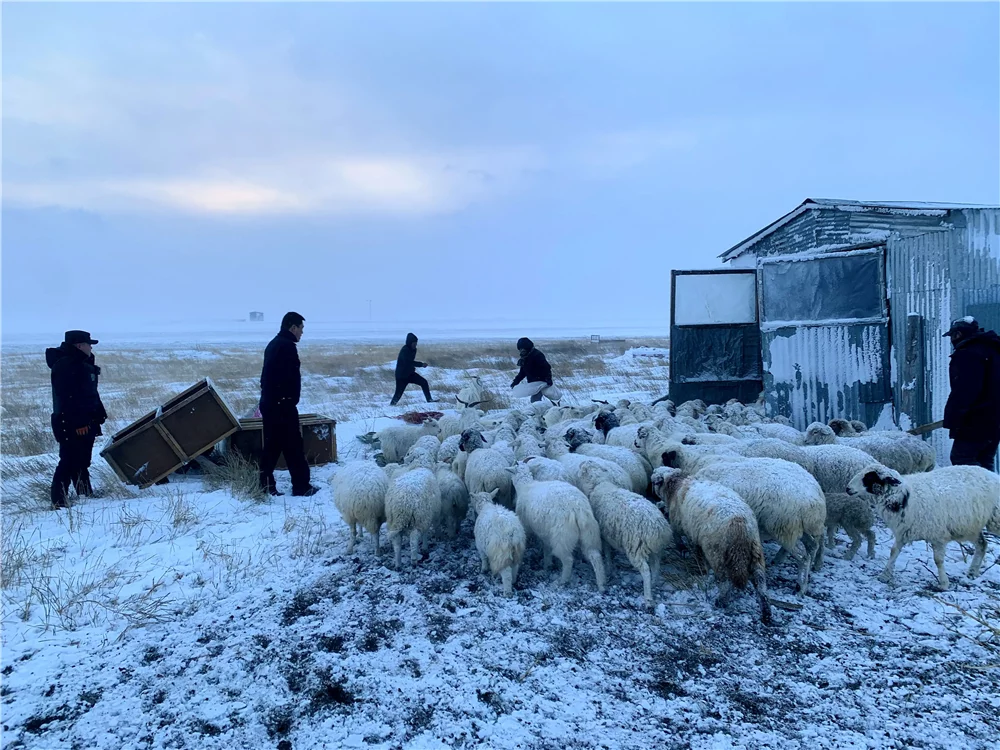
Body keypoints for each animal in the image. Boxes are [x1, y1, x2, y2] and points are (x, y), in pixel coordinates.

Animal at [512, 464, 604, 592]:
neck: (526, 485)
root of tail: (578, 509)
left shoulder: (528, 526)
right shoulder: (545, 533)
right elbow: (546, 548)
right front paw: (547, 565)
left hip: (562, 537)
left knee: (568, 560)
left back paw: (562, 581)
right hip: (589, 534)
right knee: (595, 556)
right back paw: (601, 585)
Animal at [580, 462, 672, 608]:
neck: (600, 484)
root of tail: (657, 528)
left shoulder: (603, 535)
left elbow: (607, 553)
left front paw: (609, 568)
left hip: (635, 548)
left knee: (646, 571)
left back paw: (648, 598)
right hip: (656, 550)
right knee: (656, 567)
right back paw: (654, 584)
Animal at [648, 468, 772, 624]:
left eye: (654, 482)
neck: (676, 485)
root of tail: (739, 523)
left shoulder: (679, 525)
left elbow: (678, 538)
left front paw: (683, 550)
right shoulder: (695, 534)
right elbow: (696, 548)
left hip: (717, 553)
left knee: (725, 581)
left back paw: (721, 601)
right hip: (755, 551)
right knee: (760, 583)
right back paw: (766, 612)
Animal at [844, 464, 1000, 592]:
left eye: (869, 477)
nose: (848, 489)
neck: (903, 497)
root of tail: (992, 474)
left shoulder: (938, 536)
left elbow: (938, 560)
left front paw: (944, 583)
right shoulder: (903, 532)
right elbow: (893, 552)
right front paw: (885, 575)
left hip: (993, 520)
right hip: (969, 527)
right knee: (982, 544)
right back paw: (972, 572)